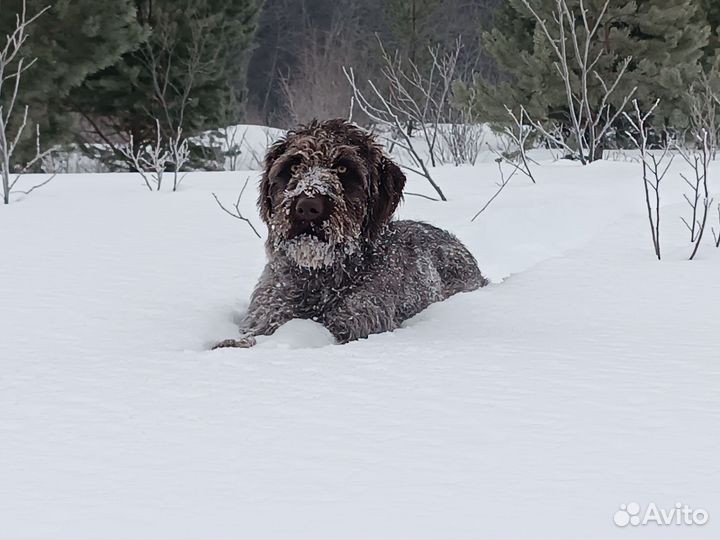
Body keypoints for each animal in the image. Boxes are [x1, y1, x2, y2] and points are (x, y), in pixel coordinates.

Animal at [211, 117, 486, 348]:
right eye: (294, 166)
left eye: (343, 169)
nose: (307, 207)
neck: (318, 277)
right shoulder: (268, 313)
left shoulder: (357, 322)